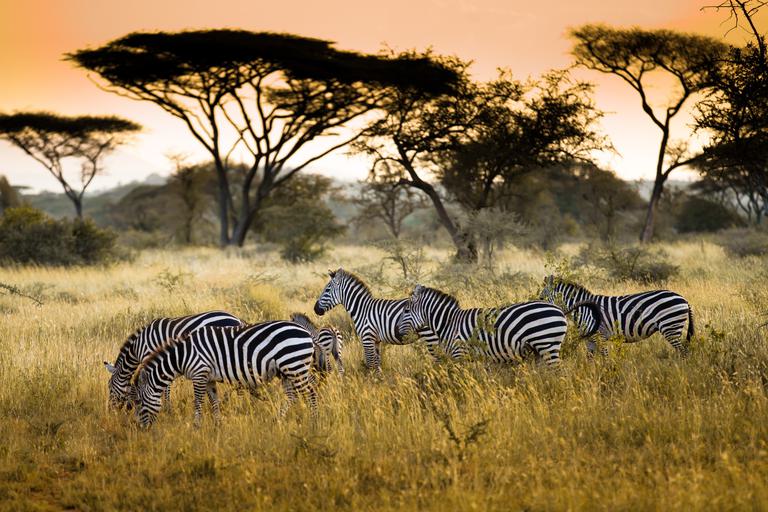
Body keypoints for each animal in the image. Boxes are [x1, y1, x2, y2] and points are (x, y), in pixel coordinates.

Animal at [104, 310, 244, 410]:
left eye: (109, 386)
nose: (110, 410)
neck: (138, 347)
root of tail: (237, 319)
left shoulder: (152, 357)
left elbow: (163, 387)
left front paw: (165, 408)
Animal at [133, 321, 317, 427]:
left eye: (138, 401)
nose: (139, 428)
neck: (182, 355)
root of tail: (306, 332)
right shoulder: (208, 378)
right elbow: (214, 400)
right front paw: (218, 424)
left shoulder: (199, 373)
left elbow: (198, 402)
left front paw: (196, 425)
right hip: (286, 371)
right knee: (292, 396)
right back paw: (276, 420)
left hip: (294, 365)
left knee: (310, 393)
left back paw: (314, 422)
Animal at [396, 284, 603, 366]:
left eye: (406, 310)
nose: (398, 333)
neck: (449, 323)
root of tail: (559, 309)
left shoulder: (459, 354)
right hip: (541, 348)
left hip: (547, 343)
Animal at [539, 275, 694, 356]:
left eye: (541, 297)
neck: (583, 309)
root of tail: (684, 299)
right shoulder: (590, 340)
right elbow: (590, 361)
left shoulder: (600, 336)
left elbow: (605, 359)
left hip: (670, 327)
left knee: (683, 352)